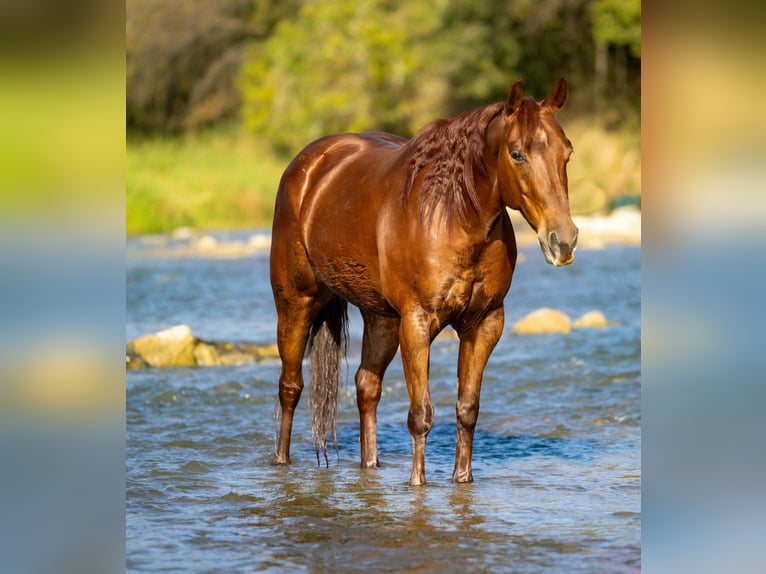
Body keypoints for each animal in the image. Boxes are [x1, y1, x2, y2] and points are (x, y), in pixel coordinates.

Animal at [270, 80, 576, 486]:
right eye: (517, 154)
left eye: (567, 153)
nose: (564, 241)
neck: (454, 216)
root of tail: (308, 166)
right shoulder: (416, 323)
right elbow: (421, 414)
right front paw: (418, 484)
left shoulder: (484, 324)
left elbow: (467, 408)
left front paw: (462, 480)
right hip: (295, 305)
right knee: (290, 387)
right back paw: (281, 461)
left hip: (381, 319)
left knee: (367, 386)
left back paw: (370, 465)